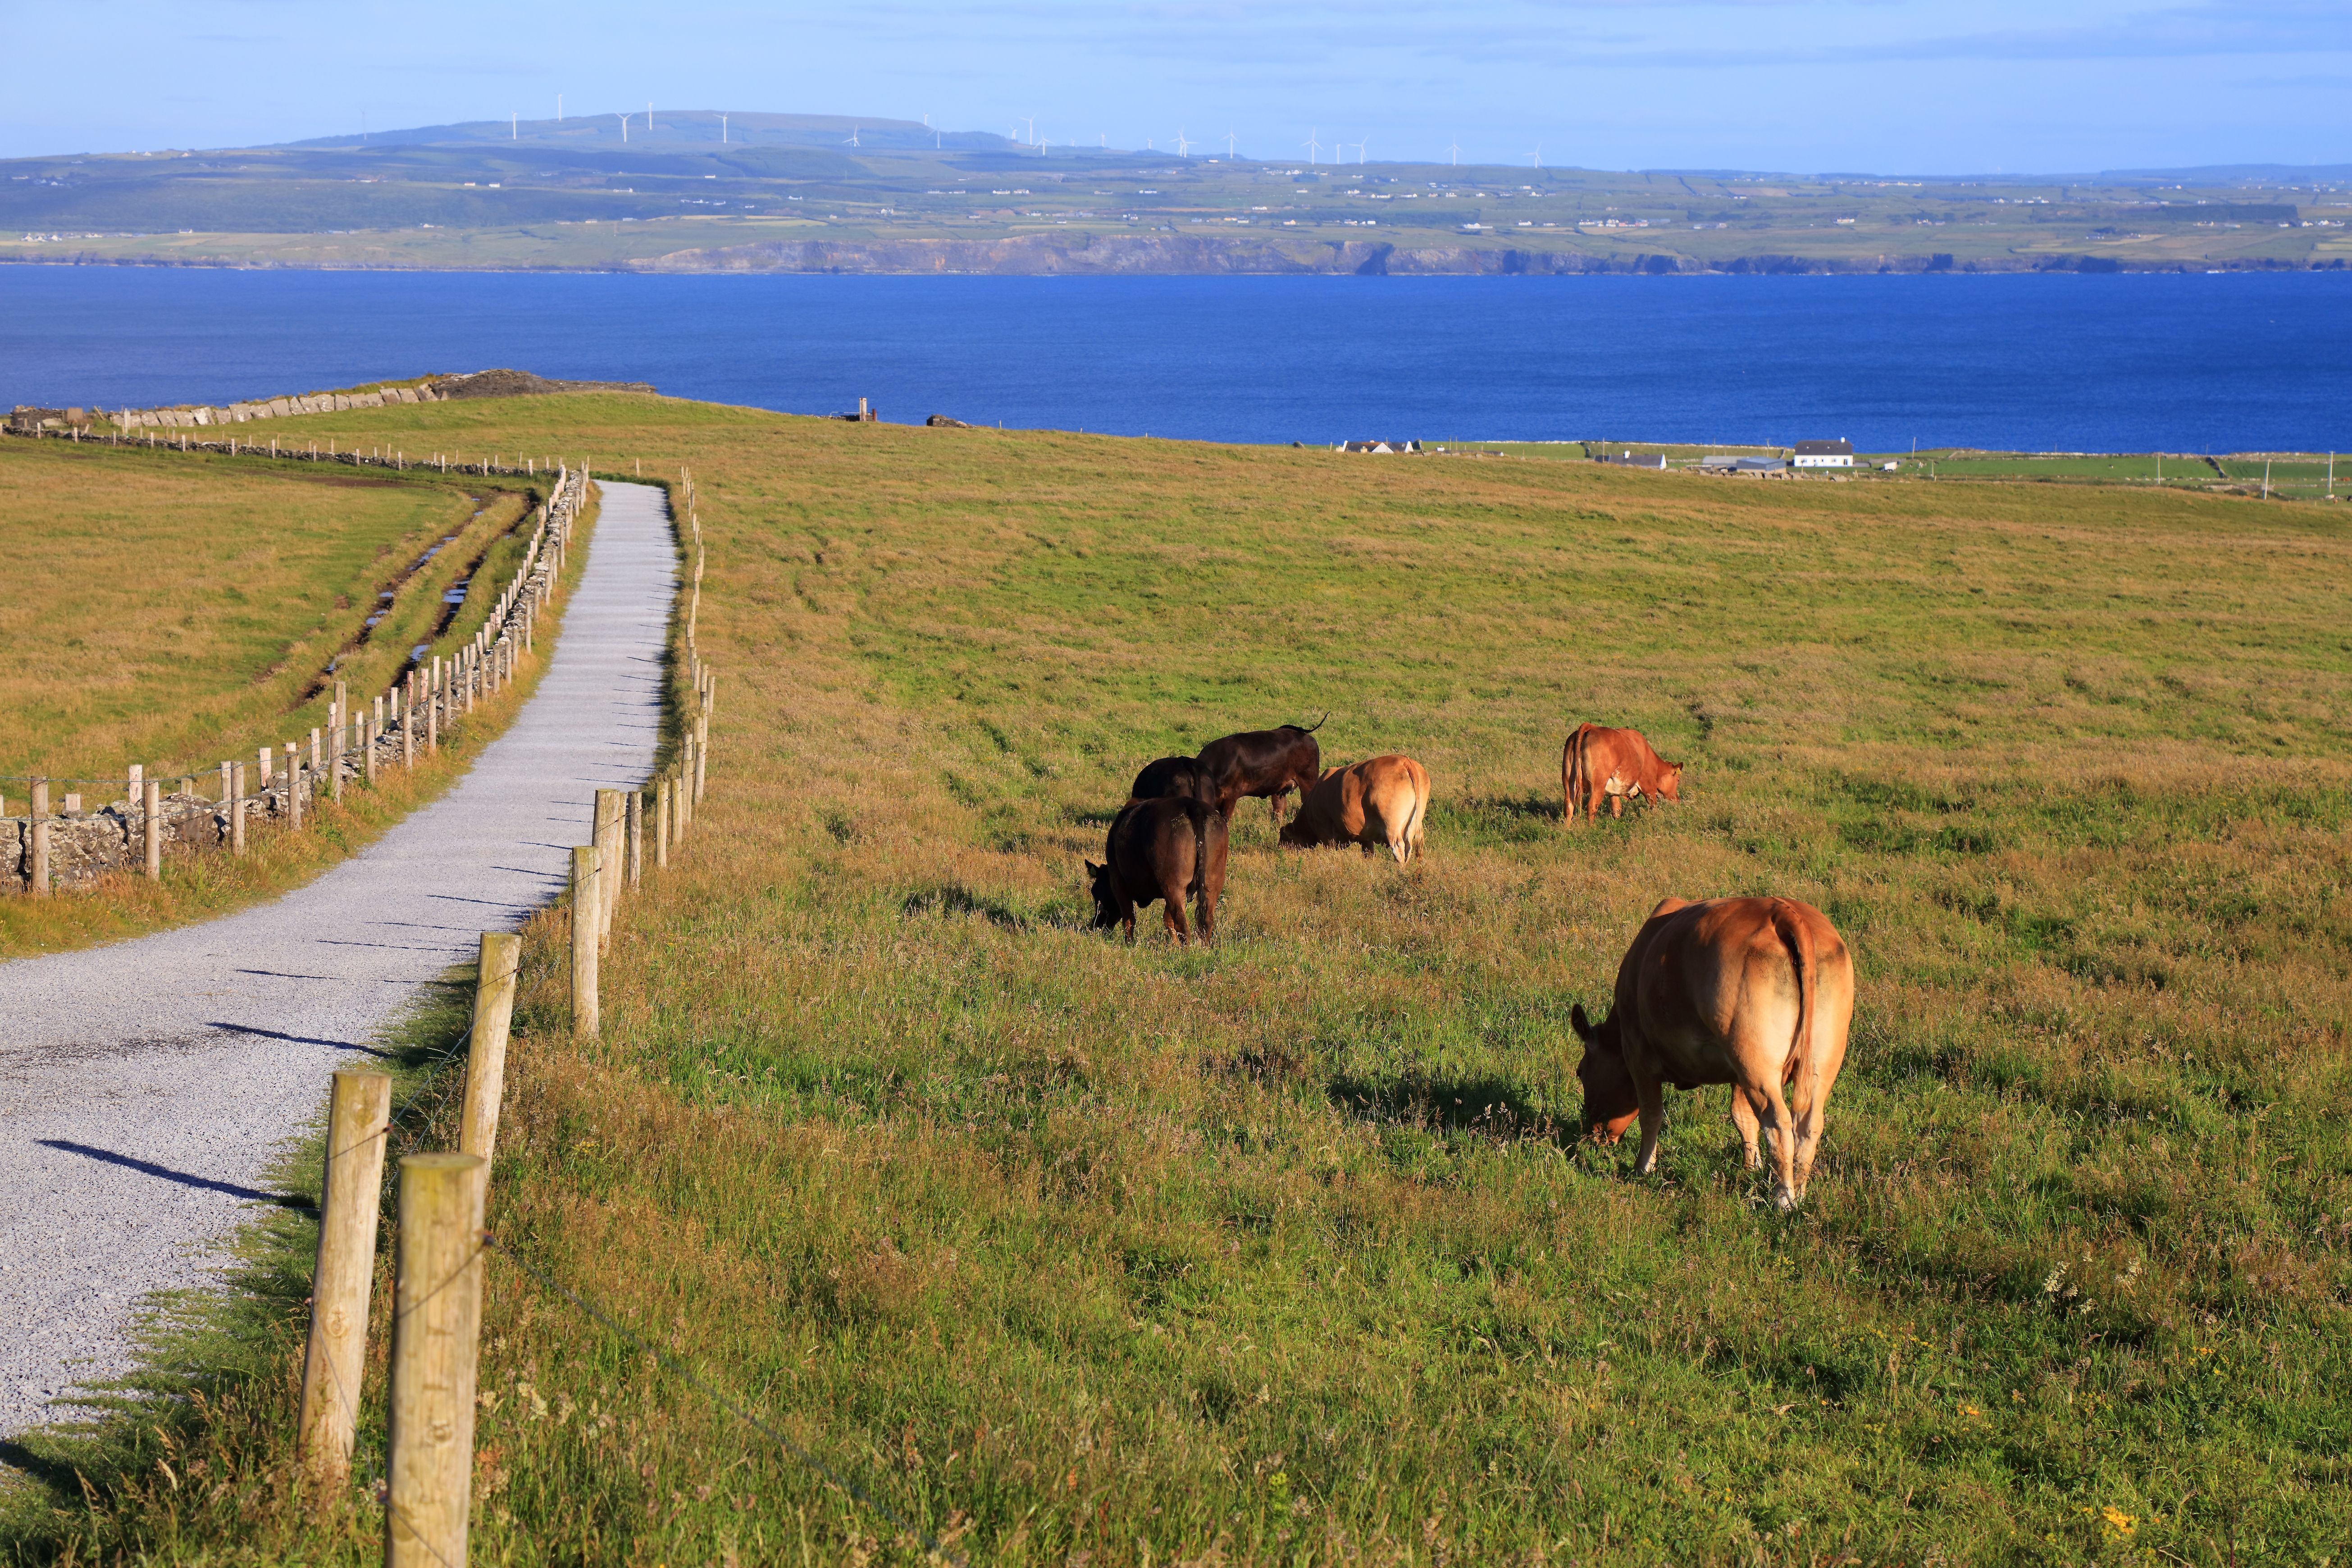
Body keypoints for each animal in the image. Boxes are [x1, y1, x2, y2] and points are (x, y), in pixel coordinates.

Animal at [1086, 796, 1228, 944]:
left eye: (1095, 892)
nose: (1097, 925)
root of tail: (1190, 804)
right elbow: (1168, 920)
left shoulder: (1118, 882)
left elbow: (1129, 919)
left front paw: (1129, 943)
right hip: (1210, 885)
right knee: (1206, 922)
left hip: (1174, 887)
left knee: (1183, 926)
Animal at [1278, 755, 1431, 864]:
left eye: (1285, 840)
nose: (1281, 855)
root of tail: (1404, 761)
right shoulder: (1367, 837)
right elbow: (1368, 854)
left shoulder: (1325, 831)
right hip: (1412, 825)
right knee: (1408, 848)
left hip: (1392, 826)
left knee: (1399, 849)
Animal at [1562, 723, 1682, 826]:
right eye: (1678, 780)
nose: (1678, 800)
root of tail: (1590, 727)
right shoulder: (1649, 787)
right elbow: (1653, 805)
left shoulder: (1613, 791)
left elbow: (1617, 809)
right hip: (1598, 785)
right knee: (1592, 806)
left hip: (1569, 781)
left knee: (1569, 805)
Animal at [1570, 896, 1854, 1209]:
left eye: (1580, 1072)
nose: (1593, 1134)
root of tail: (1781, 910)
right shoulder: (1737, 1072)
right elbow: (1742, 1118)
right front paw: (1751, 1167)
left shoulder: (1638, 1055)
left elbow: (1651, 1115)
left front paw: (1643, 1168)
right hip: (1815, 1061)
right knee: (1809, 1122)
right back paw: (1800, 1192)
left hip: (1756, 1063)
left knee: (1779, 1124)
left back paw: (1783, 1198)